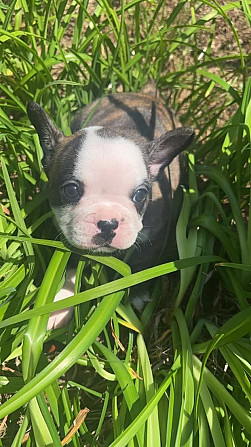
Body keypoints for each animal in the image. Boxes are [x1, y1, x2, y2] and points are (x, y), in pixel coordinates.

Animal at [27, 85, 194, 328]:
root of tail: (147, 92)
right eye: (71, 190)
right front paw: (60, 305)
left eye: (140, 195)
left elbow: (141, 264)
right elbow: (71, 268)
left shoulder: (154, 238)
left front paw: (136, 294)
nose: (107, 223)